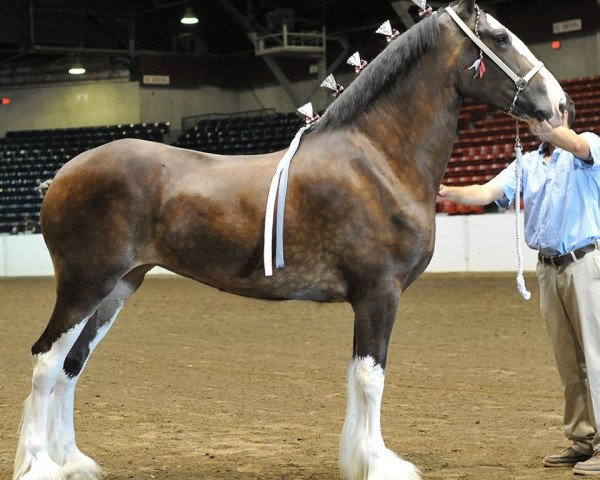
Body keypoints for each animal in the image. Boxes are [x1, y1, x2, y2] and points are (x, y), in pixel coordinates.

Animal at [14, 0, 564, 480]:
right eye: (500, 37)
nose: (560, 104)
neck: (377, 159)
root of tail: (62, 173)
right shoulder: (378, 294)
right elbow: (372, 377)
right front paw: (379, 464)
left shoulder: (370, 299)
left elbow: (359, 375)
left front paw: (360, 459)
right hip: (85, 286)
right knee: (45, 362)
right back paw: (41, 465)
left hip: (117, 289)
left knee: (71, 365)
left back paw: (73, 462)